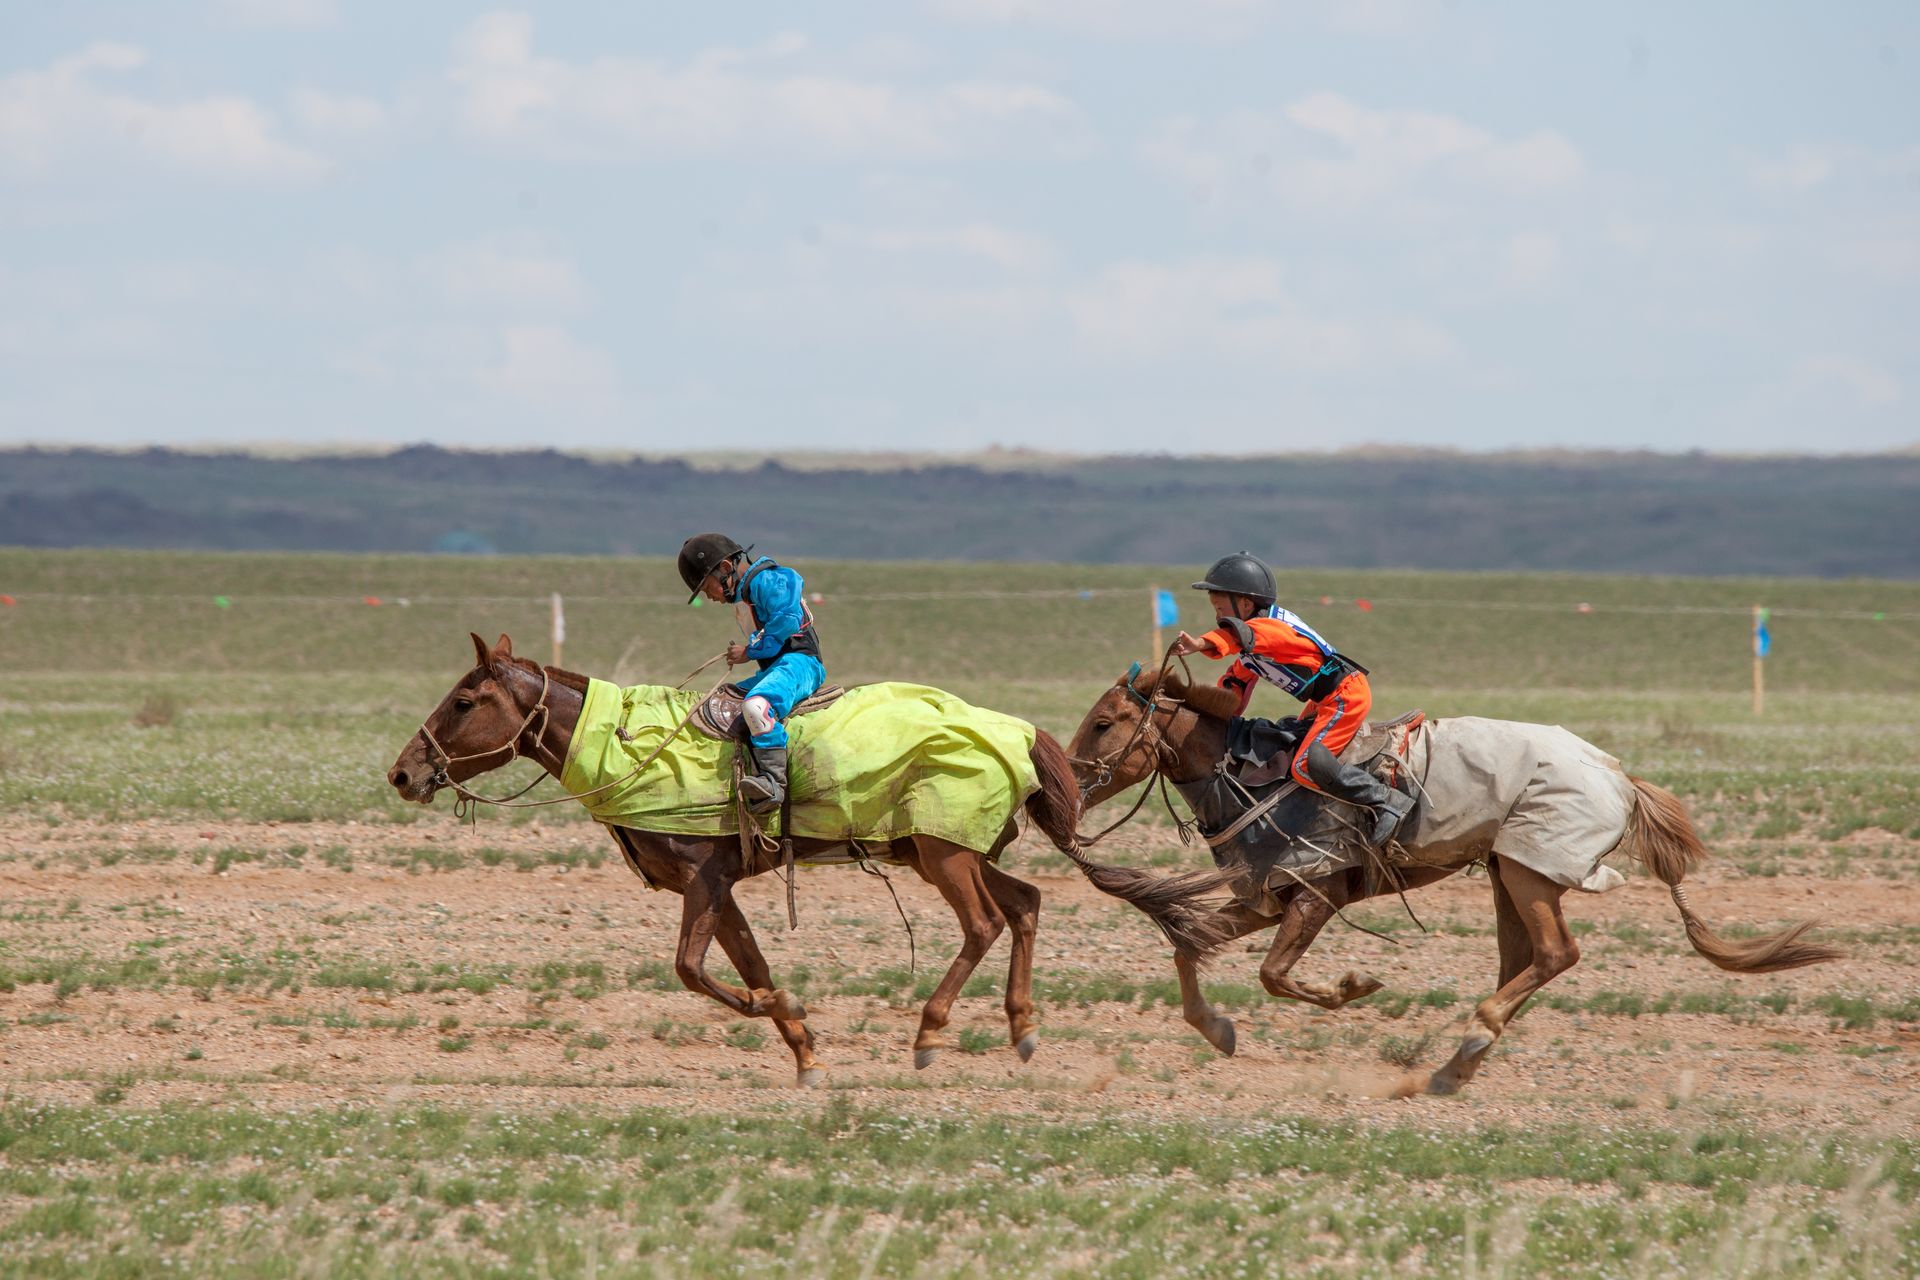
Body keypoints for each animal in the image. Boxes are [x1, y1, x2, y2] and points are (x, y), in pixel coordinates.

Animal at [386, 634, 1233, 1086]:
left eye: (464, 702)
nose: (403, 772)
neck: (627, 744)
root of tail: (1019, 732)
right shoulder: (721, 888)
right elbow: (743, 963)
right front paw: (800, 1045)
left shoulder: (705, 879)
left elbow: (692, 969)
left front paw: (786, 1014)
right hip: (944, 849)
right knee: (1025, 903)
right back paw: (1021, 1026)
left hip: (944, 858)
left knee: (986, 923)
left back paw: (929, 1034)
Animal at [1065, 664, 1842, 1096]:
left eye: (1103, 722)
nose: (1065, 783)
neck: (1253, 774)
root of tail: (1621, 777)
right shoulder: (1269, 894)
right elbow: (1189, 948)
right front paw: (1217, 1030)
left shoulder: (1317, 892)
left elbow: (1275, 974)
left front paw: (1353, 987)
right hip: (1507, 878)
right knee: (1524, 959)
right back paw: (1456, 1067)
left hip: (1531, 872)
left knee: (1555, 954)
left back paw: (1471, 1041)